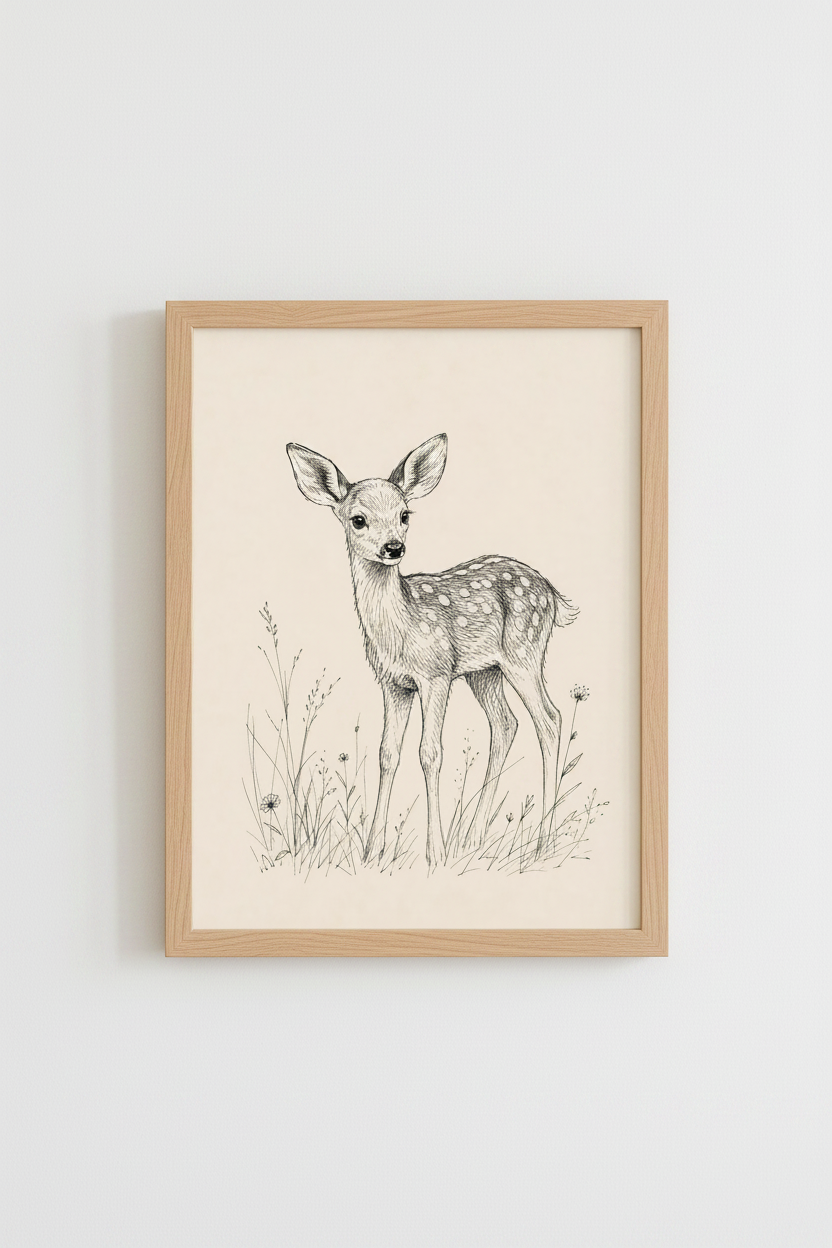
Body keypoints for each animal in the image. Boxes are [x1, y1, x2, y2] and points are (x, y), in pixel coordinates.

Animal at [286, 434, 578, 870]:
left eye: (405, 514)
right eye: (358, 519)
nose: (394, 547)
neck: (401, 628)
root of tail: (553, 595)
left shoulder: (436, 674)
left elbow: (430, 753)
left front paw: (434, 853)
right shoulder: (394, 683)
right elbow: (387, 753)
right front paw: (372, 852)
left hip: (524, 652)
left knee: (550, 718)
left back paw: (541, 843)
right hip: (484, 671)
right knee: (506, 723)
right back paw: (472, 838)